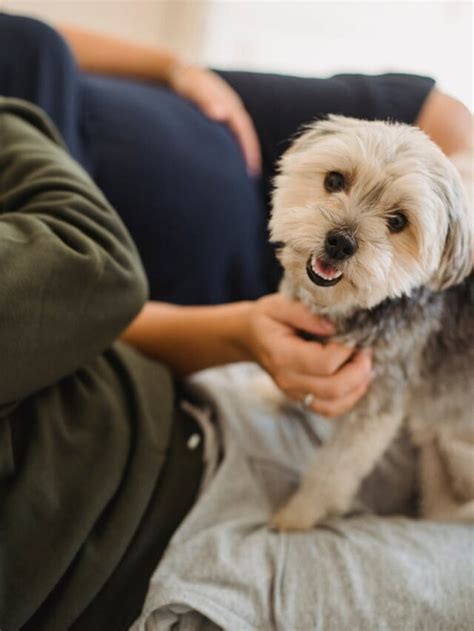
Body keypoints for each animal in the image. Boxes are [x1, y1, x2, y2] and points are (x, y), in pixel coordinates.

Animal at [268, 116, 474, 532]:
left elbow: (333, 471)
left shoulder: (375, 405)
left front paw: (295, 517)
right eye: (334, 180)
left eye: (398, 221)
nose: (340, 242)